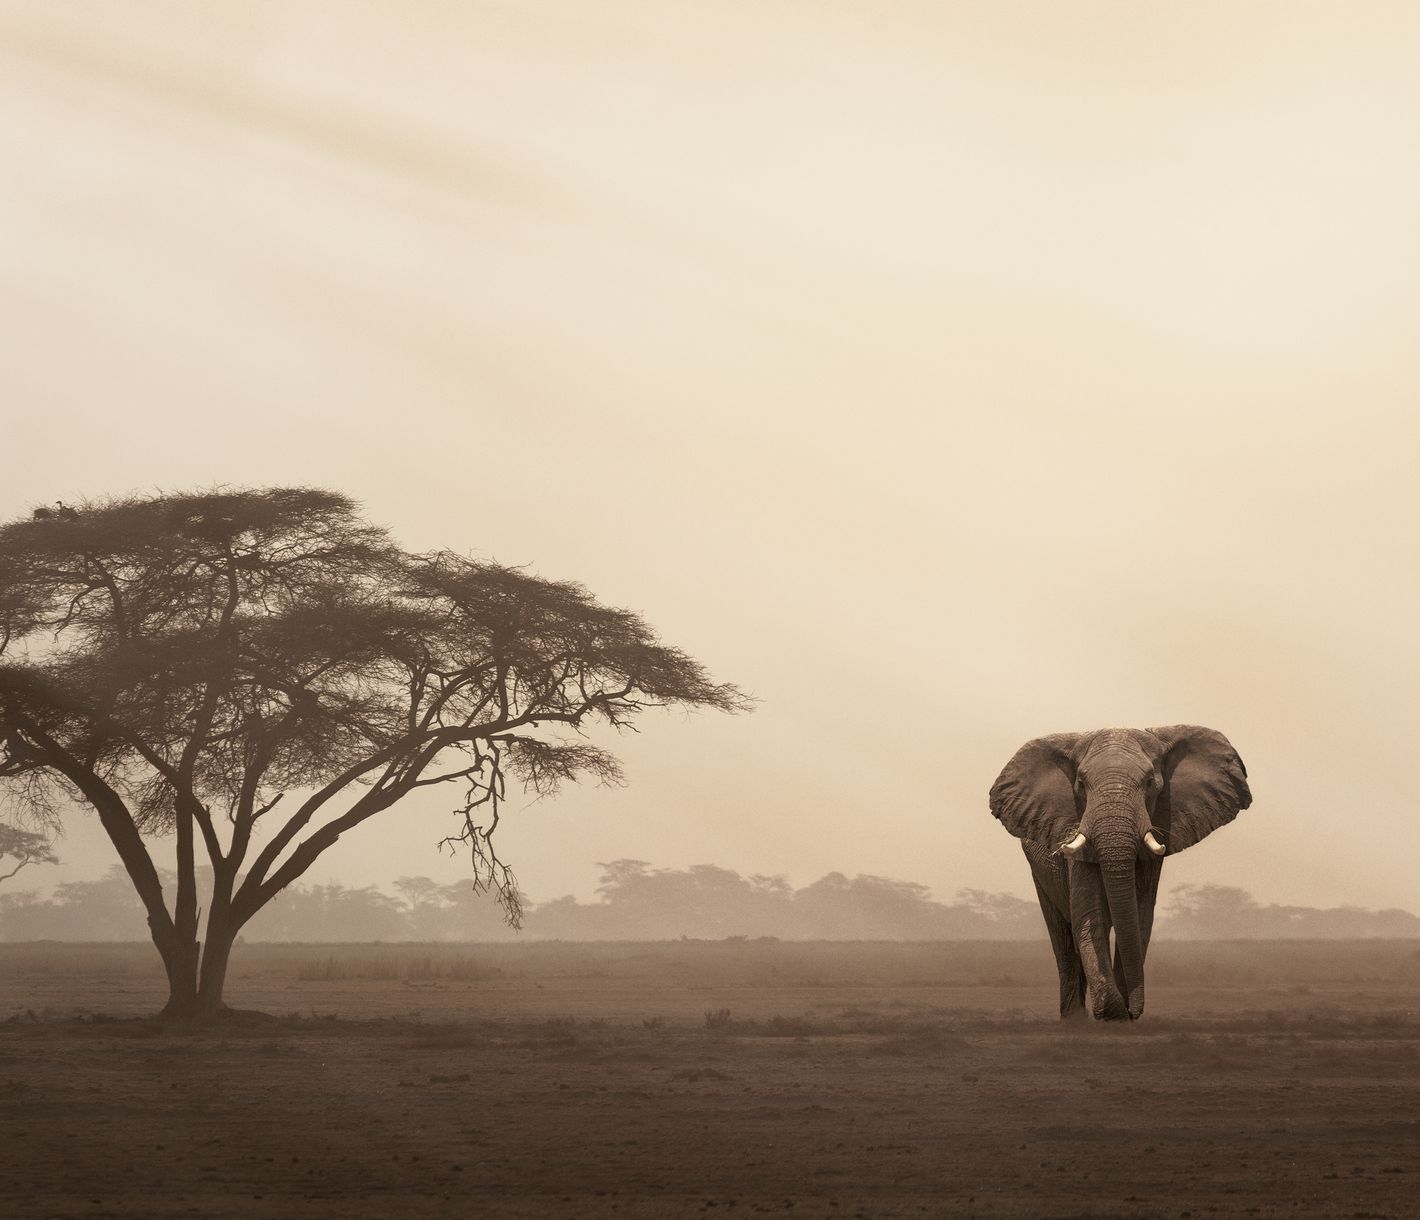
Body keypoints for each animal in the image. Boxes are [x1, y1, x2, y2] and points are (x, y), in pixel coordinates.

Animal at [989, 725, 1251, 1021]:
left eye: (1150, 783)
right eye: (1081, 784)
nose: (1133, 1011)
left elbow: (1139, 918)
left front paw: (1121, 1013)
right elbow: (1091, 917)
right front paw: (1112, 1013)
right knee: (1063, 938)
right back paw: (1074, 1020)